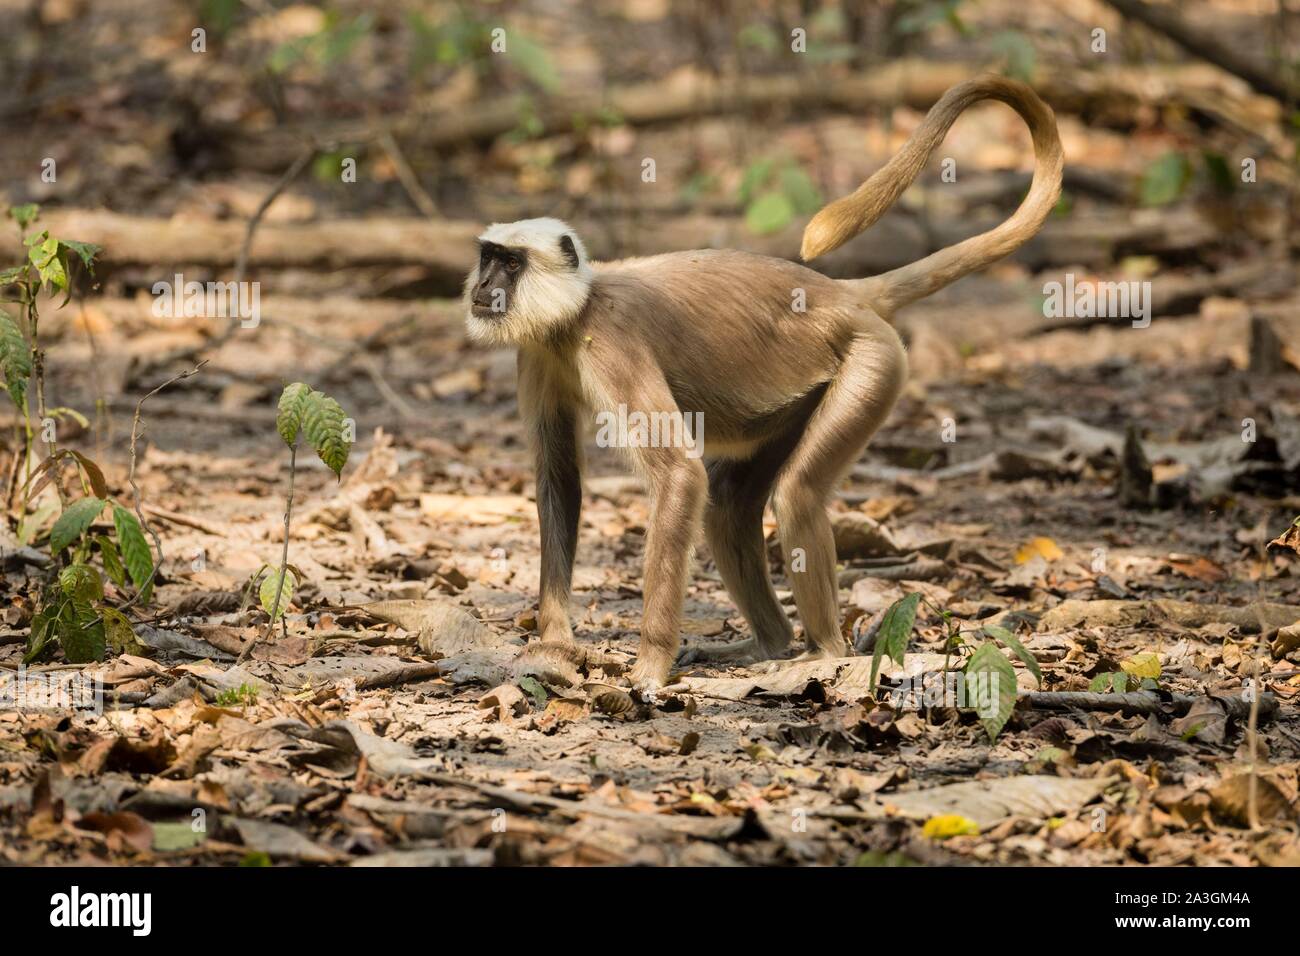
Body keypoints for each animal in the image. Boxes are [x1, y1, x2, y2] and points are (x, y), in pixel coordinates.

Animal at [462, 72, 1060, 686]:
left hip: (872, 362)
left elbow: (678, 475)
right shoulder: (537, 352)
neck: (577, 311)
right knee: (727, 505)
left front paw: (651, 664)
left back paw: (823, 653)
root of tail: (844, 295)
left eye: (511, 264)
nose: (482, 290)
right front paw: (555, 643)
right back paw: (768, 643)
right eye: (488, 259)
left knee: (796, 495)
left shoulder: (612, 342)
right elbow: (560, 479)